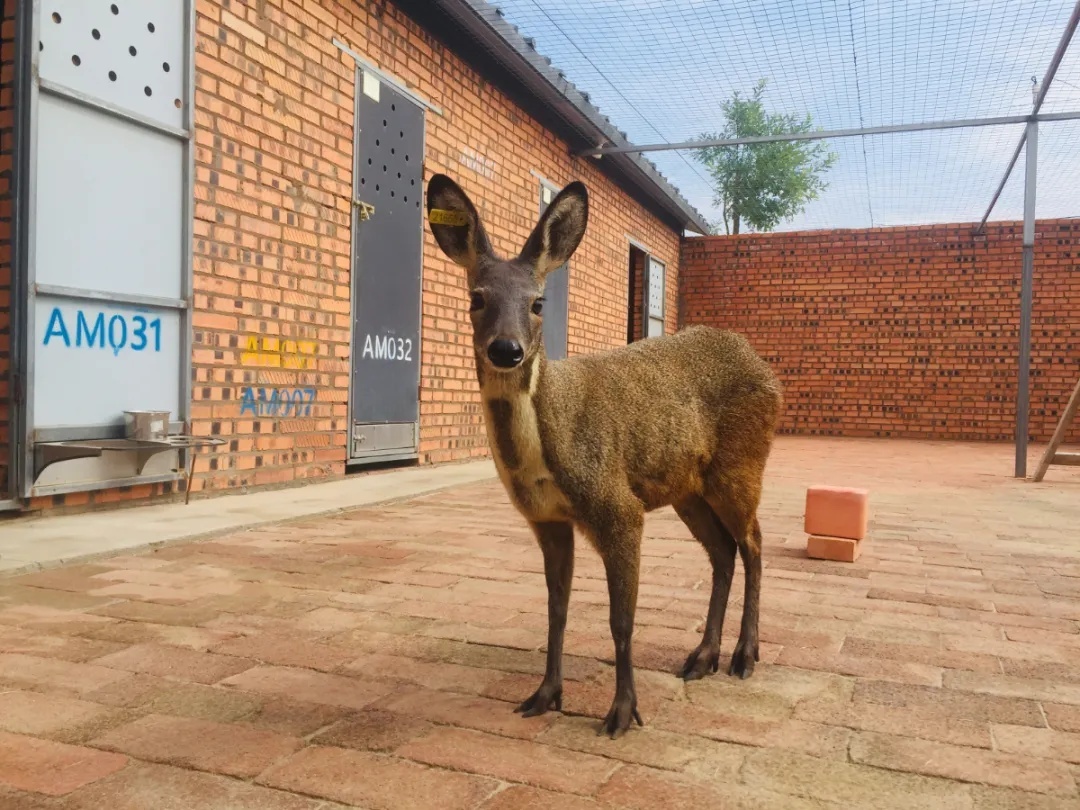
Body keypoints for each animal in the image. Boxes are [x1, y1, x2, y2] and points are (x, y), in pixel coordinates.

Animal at [423, 174, 786, 738]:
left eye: (538, 302)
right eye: (476, 298)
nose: (506, 349)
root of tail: (766, 370)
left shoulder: (617, 506)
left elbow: (621, 618)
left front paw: (621, 713)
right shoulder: (547, 518)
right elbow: (556, 608)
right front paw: (545, 695)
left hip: (741, 464)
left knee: (754, 543)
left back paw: (744, 657)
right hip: (688, 488)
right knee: (724, 552)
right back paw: (701, 657)